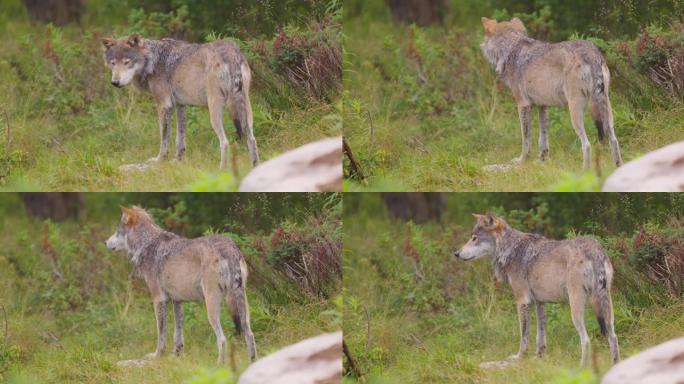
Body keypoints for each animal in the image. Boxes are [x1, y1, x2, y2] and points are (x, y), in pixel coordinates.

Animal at [101, 34, 260, 168]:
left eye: (127, 62)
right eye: (113, 63)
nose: (115, 82)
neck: (153, 60)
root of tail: (231, 52)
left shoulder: (164, 105)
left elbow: (164, 139)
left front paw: (160, 160)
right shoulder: (180, 105)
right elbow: (180, 138)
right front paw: (178, 159)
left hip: (215, 111)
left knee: (225, 142)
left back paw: (221, 170)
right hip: (246, 109)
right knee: (252, 139)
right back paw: (254, 167)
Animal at [105, 206, 258, 362]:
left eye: (117, 230)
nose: (105, 242)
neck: (147, 244)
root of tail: (229, 247)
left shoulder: (159, 300)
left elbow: (161, 334)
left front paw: (157, 356)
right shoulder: (177, 301)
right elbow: (178, 335)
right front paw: (176, 356)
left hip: (212, 307)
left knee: (222, 339)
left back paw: (220, 365)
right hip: (242, 305)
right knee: (249, 335)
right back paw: (252, 362)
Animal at [454, 213, 620, 366]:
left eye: (474, 238)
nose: (456, 253)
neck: (510, 249)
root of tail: (595, 249)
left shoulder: (522, 301)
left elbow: (524, 335)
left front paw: (520, 357)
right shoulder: (541, 302)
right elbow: (540, 335)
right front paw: (538, 356)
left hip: (576, 307)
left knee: (586, 340)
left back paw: (582, 369)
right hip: (607, 309)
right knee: (613, 336)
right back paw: (615, 366)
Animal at [480, 17, 620, 169]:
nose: (481, 46)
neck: (511, 49)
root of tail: (591, 53)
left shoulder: (523, 105)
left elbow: (526, 140)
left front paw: (521, 161)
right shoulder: (542, 106)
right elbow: (543, 138)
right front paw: (542, 160)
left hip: (575, 111)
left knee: (587, 144)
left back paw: (584, 171)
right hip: (606, 110)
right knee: (614, 140)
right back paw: (618, 167)